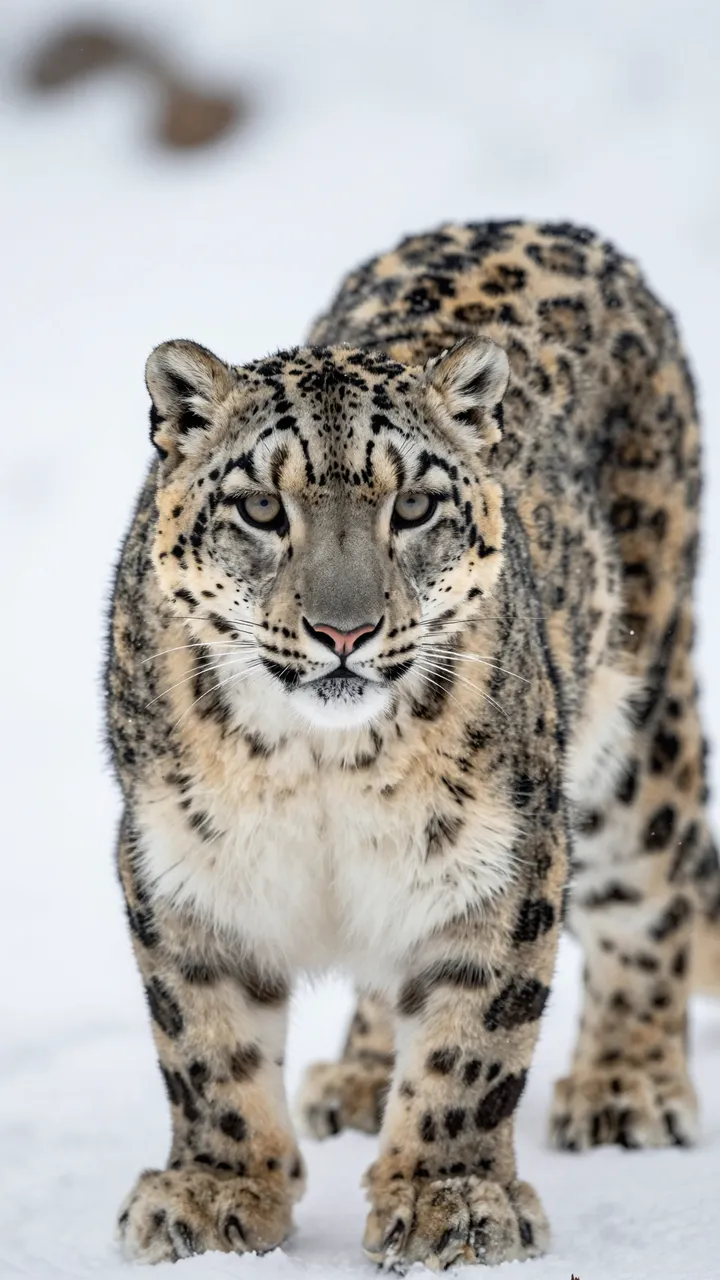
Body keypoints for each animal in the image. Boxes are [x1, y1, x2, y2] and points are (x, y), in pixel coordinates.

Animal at [106, 219, 720, 1269]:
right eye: (262, 509)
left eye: (415, 506)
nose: (343, 630)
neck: (316, 773)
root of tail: (560, 227)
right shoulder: (180, 858)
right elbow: (204, 1039)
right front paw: (216, 1192)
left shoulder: (507, 853)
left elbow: (475, 1040)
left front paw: (452, 1202)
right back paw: (356, 1082)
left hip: (638, 728)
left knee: (651, 898)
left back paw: (627, 1086)